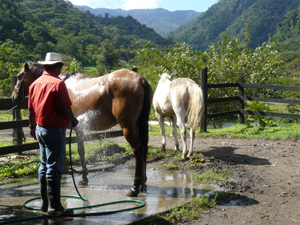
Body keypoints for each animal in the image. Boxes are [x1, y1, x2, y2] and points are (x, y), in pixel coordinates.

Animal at [11, 62, 152, 197]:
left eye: (19, 76)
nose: (14, 97)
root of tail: (139, 79)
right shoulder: (78, 129)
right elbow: (79, 151)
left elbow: (79, 152)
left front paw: (83, 178)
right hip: (140, 124)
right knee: (144, 149)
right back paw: (143, 185)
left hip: (127, 127)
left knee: (137, 150)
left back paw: (134, 188)